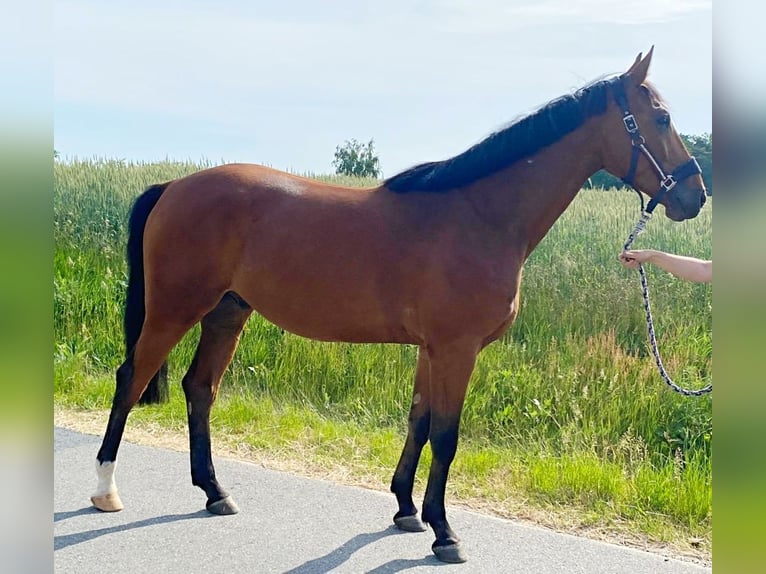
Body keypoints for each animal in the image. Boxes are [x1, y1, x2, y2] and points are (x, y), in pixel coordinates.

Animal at [91, 48, 706, 563]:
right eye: (660, 119)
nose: (694, 195)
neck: (479, 215)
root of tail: (174, 187)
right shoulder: (457, 349)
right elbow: (447, 435)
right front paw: (445, 532)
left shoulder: (431, 350)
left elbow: (419, 421)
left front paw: (408, 510)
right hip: (175, 309)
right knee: (131, 378)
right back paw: (104, 489)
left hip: (227, 312)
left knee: (200, 388)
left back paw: (215, 492)